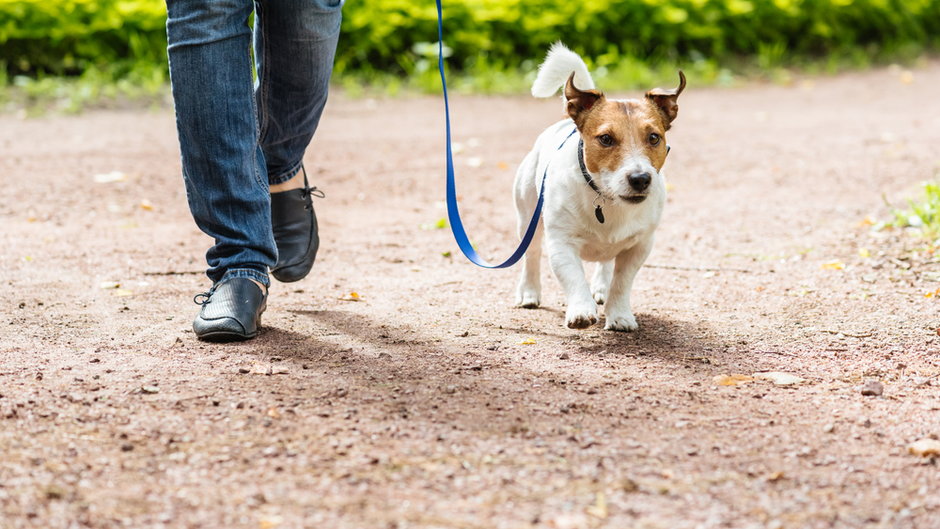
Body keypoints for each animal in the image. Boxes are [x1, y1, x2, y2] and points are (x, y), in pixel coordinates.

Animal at [516, 43, 684, 330]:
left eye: (654, 137)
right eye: (605, 139)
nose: (640, 178)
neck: (607, 199)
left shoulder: (640, 246)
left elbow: (622, 282)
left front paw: (620, 315)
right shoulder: (561, 243)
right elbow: (573, 278)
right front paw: (581, 310)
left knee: (605, 263)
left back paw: (601, 288)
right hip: (528, 217)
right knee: (532, 255)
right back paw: (529, 292)